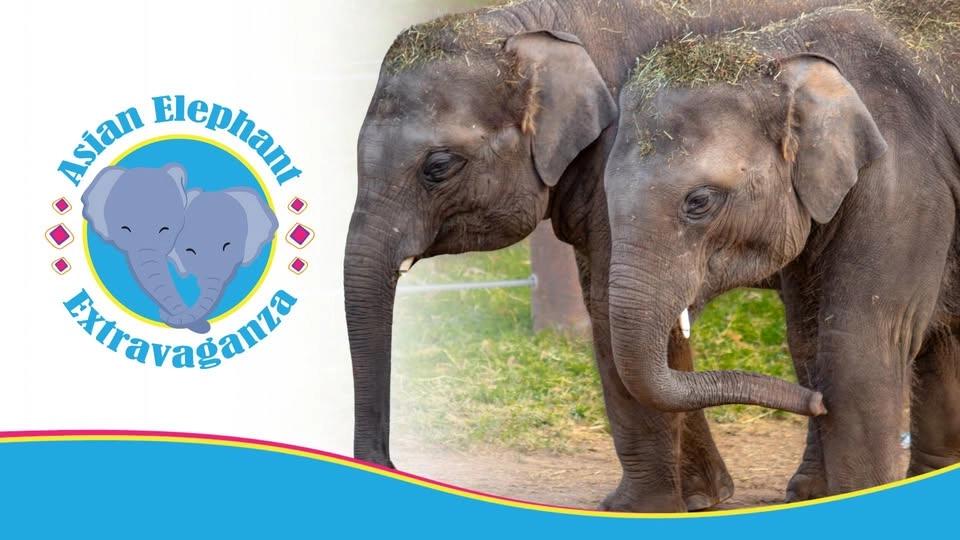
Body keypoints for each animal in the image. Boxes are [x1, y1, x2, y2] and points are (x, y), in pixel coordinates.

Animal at [345, 0, 845, 511]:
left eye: (439, 167)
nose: (389, 466)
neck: (526, 25)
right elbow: (621, 312)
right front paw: (701, 499)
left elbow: (611, 311)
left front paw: (637, 509)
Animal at [603, 4, 960, 497]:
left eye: (699, 202)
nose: (815, 403)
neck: (779, 57)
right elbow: (806, 339)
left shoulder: (907, 186)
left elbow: (860, 345)